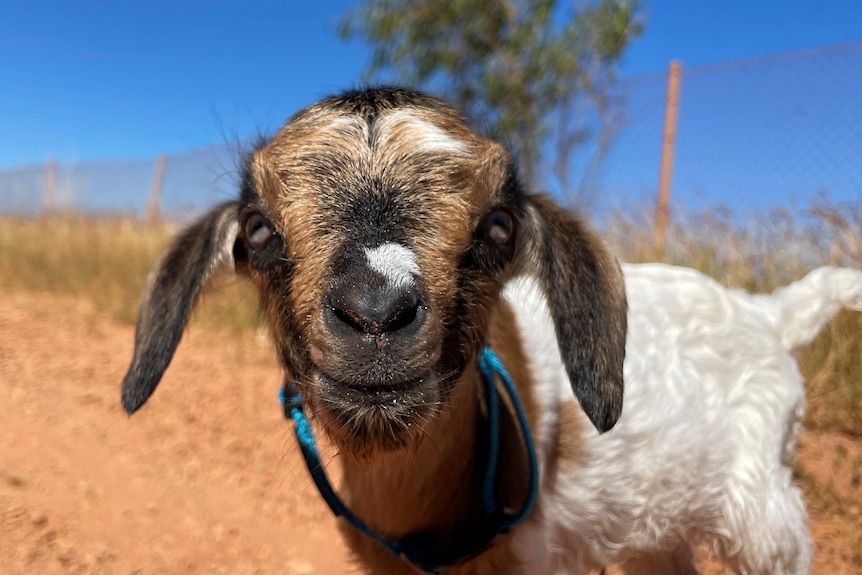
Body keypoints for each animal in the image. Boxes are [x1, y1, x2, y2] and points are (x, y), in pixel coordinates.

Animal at [121, 86, 862, 575]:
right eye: (256, 229)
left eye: (500, 227)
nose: (375, 310)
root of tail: (771, 312)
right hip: (659, 524)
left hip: (761, 511)